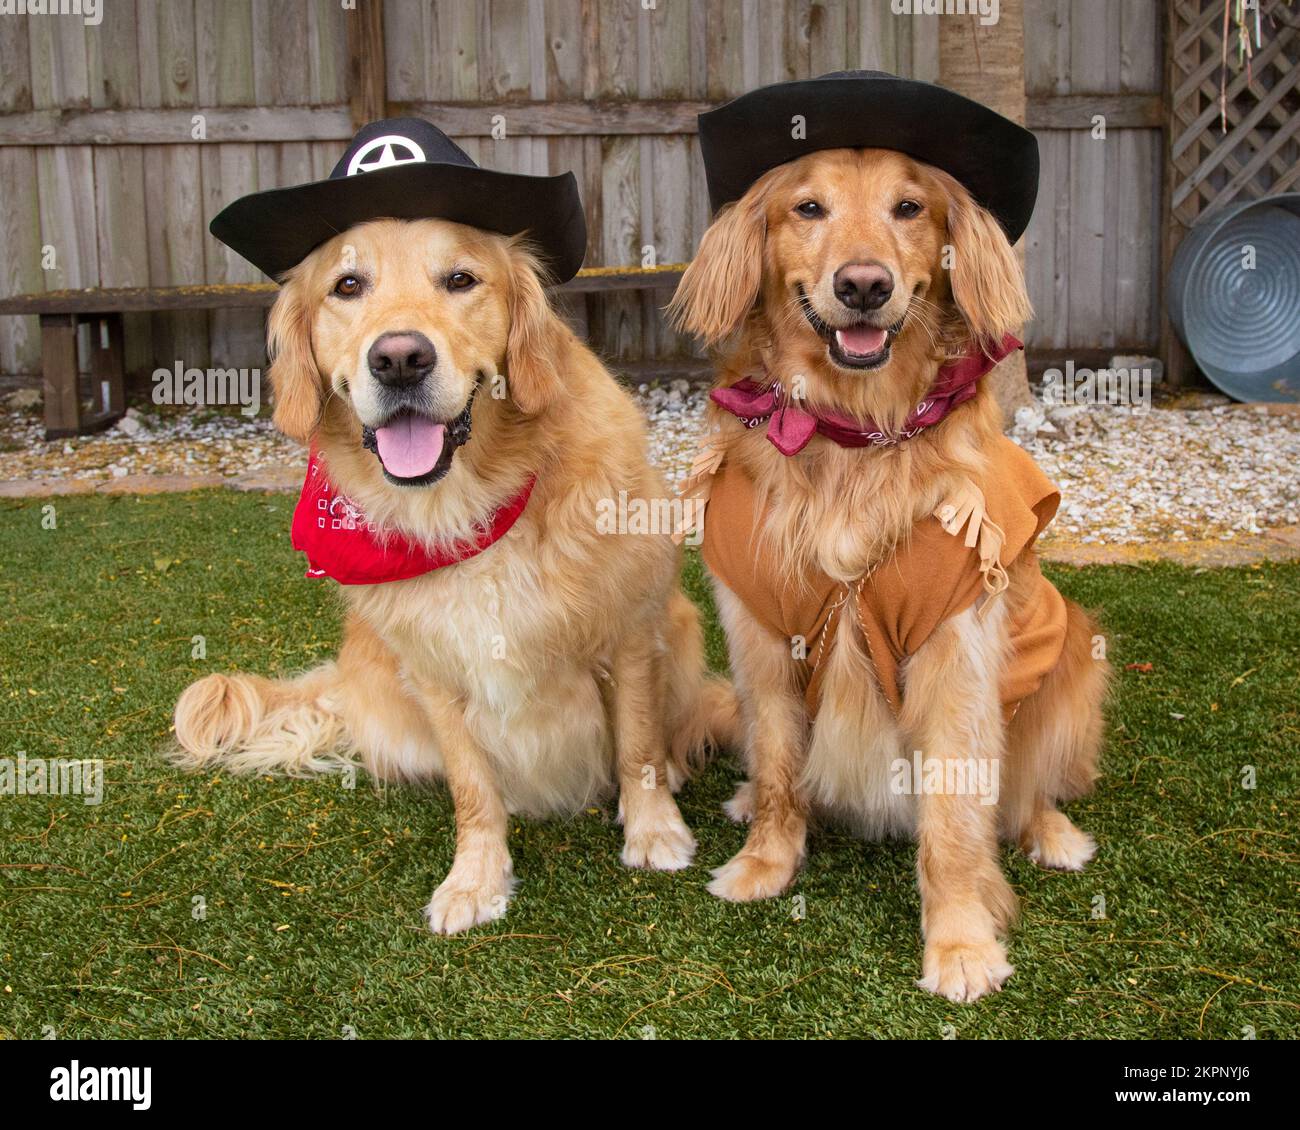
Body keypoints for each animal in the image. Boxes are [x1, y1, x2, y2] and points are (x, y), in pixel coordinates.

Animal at [172, 215, 738, 931]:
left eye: (461, 279)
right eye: (347, 285)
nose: (399, 358)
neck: (464, 512)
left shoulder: (630, 634)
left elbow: (638, 748)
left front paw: (655, 832)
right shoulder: (435, 672)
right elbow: (472, 787)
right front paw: (475, 879)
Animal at [670, 147, 1107, 998]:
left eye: (910, 207)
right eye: (808, 208)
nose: (864, 285)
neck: (852, 432)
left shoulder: (956, 649)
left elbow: (954, 821)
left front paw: (962, 941)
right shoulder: (762, 635)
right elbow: (779, 768)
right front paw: (765, 863)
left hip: (1072, 644)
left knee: (1028, 784)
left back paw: (1052, 832)